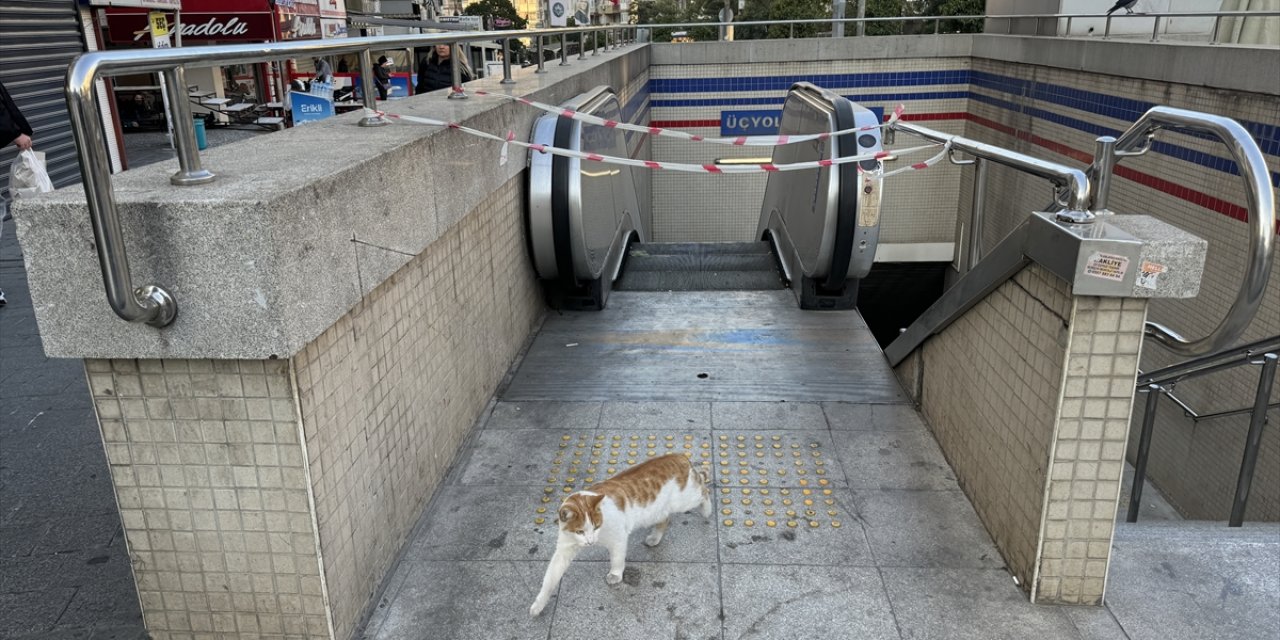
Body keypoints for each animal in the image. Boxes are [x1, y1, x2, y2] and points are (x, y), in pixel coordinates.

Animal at [527, 453, 711, 616]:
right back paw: (655, 537)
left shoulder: (618, 538)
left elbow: (616, 558)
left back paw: (707, 509)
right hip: (658, 511)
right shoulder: (564, 549)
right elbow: (550, 578)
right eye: (580, 531)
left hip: (685, 500)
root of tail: (679, 455)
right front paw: (539, 604)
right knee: (665, 518)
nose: (590, 542)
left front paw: (615, 574)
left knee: (703, 488)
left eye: (596, 526)